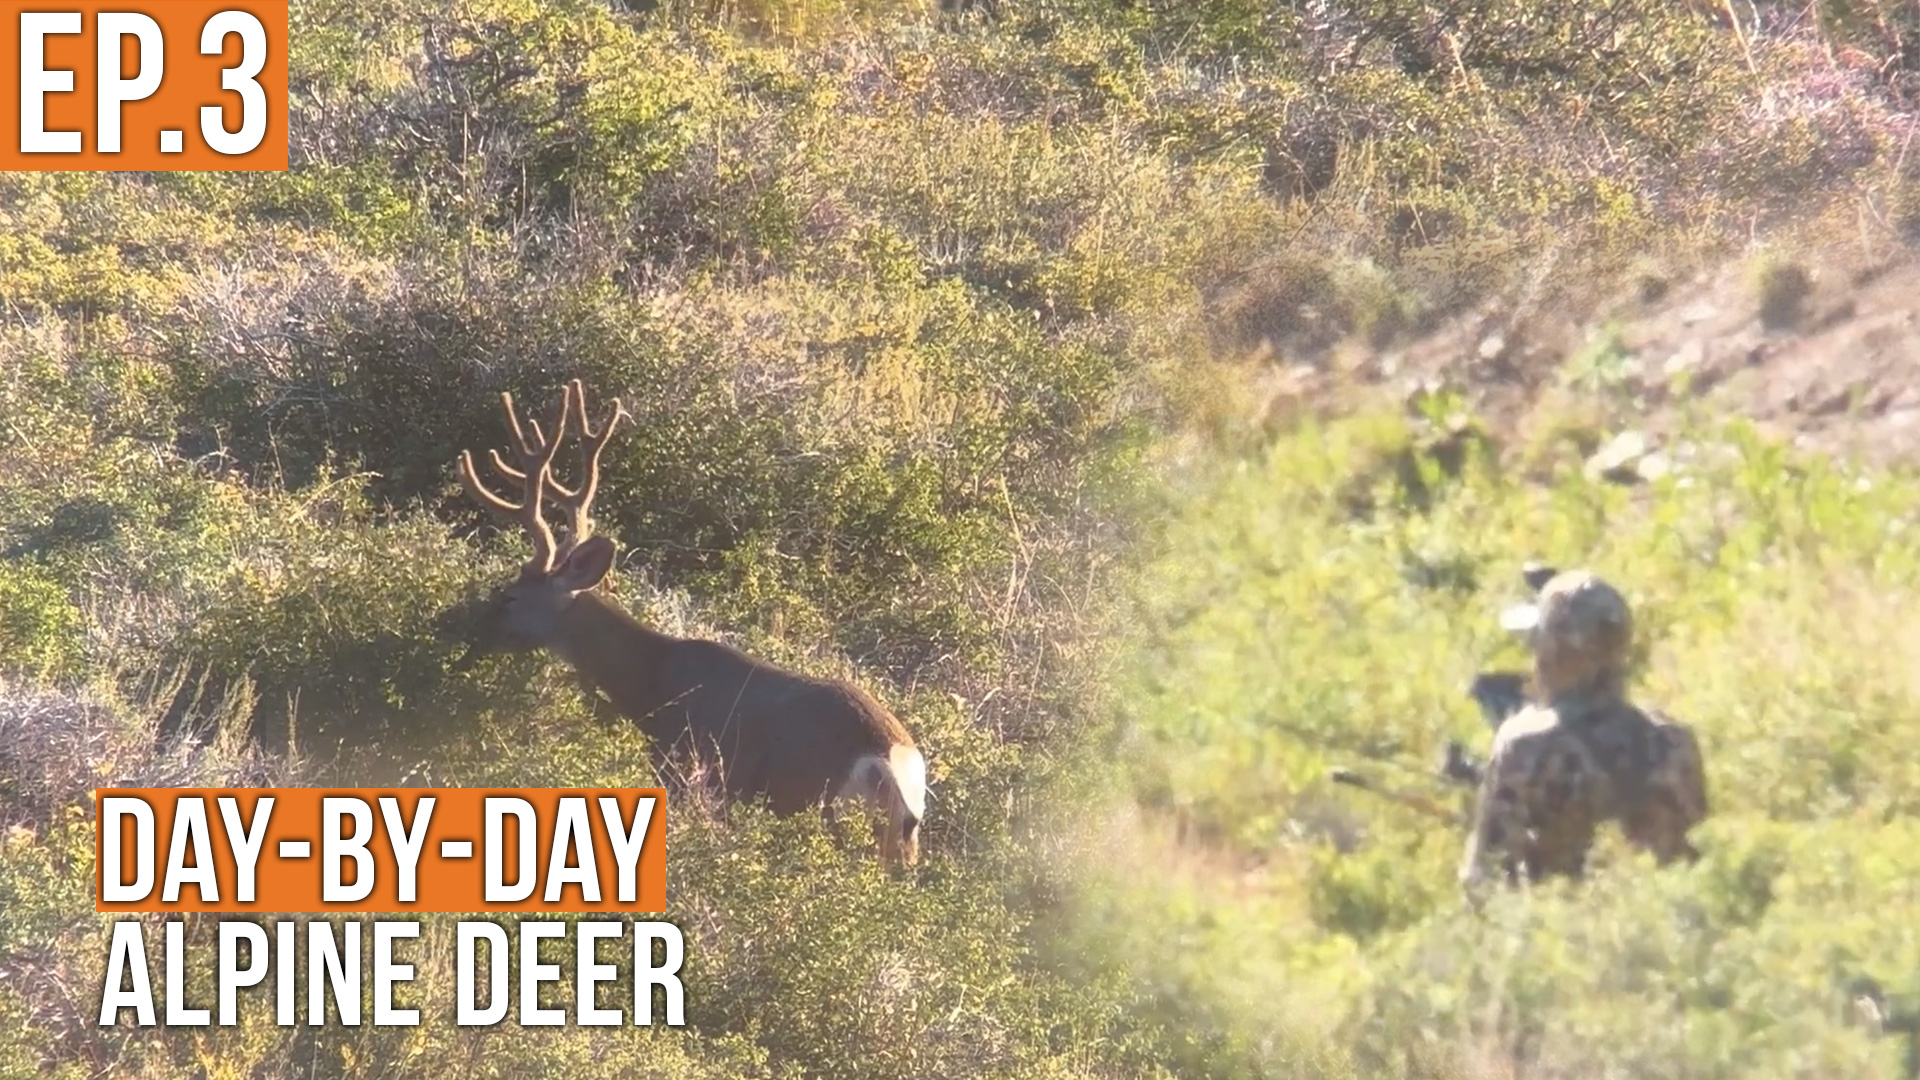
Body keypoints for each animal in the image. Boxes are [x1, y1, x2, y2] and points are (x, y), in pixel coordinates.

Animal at [448, 379, 928, 867]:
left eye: (508, 598)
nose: (467, 634)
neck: (647, 683)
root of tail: (890, 759)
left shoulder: (677, 761)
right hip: (894, 836)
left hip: (806, 799)